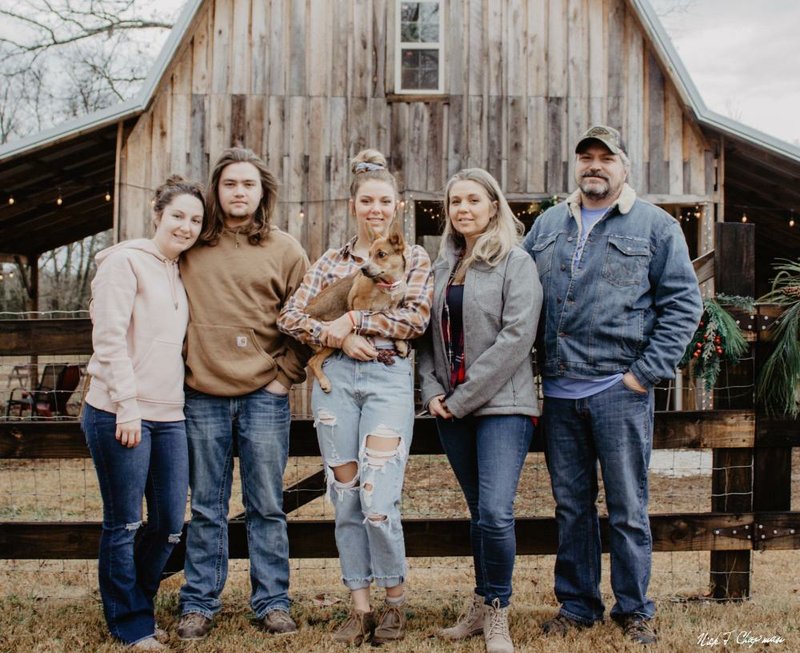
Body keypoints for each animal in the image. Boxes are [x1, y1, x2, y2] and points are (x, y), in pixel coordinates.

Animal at [304, 219, 410, 392]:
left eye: (381, 254)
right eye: (369, 254)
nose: (363, 269)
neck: (387, 284)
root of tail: (305, 311)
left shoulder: (393, 308)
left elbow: (394, 327)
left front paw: (400, 344)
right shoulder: (359, 302)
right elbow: (361, 319)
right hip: (330, 341)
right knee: (313, 361)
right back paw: (325, 382)